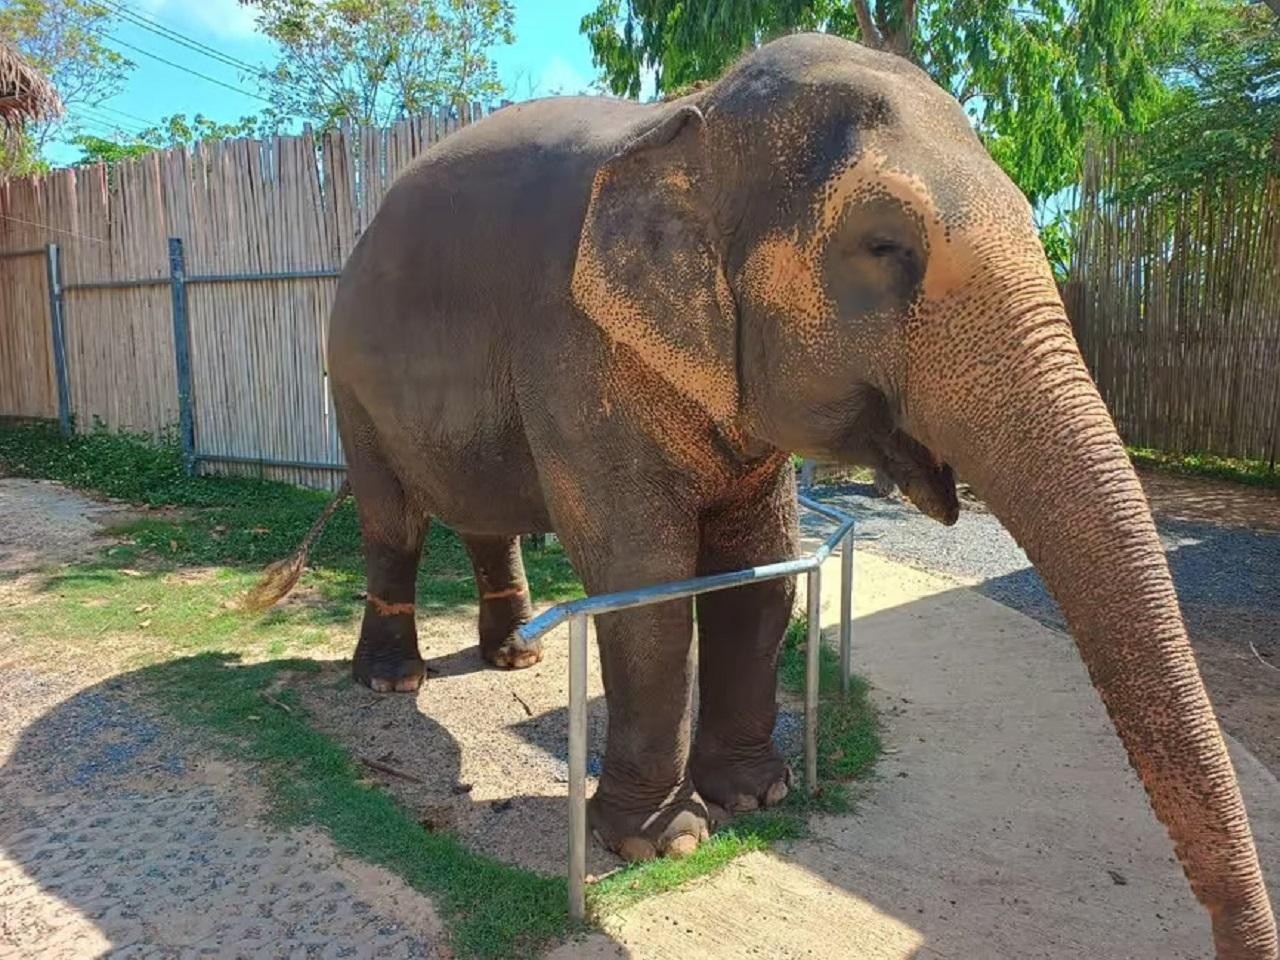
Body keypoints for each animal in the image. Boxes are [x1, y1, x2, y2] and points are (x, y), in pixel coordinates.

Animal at [250, 33, 1276, 957]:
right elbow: (646, 584)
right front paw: (663, 842)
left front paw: (758, 795)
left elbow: (759, 569)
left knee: (484, 517)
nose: (1236, 942)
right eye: (884, 244)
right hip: (350, 379)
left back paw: (516, 659)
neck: (685, 117)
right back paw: (394, 680)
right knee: (393, 519)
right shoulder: (574, 353)